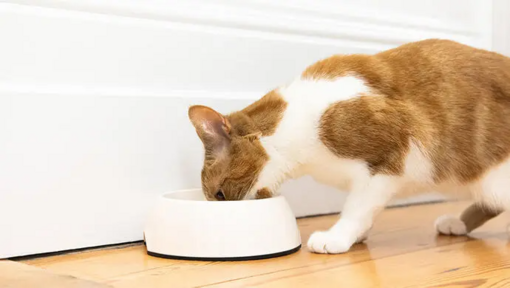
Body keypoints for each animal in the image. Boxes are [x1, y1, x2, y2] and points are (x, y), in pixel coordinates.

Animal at [187, 39, 510, 253]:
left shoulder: (389, 159)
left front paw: (338, 237)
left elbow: (358, 207)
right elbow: (365, 209)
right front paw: (358, 235)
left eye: (219, 193)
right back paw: (457, 223)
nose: (220, 210)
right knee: (489, 203)